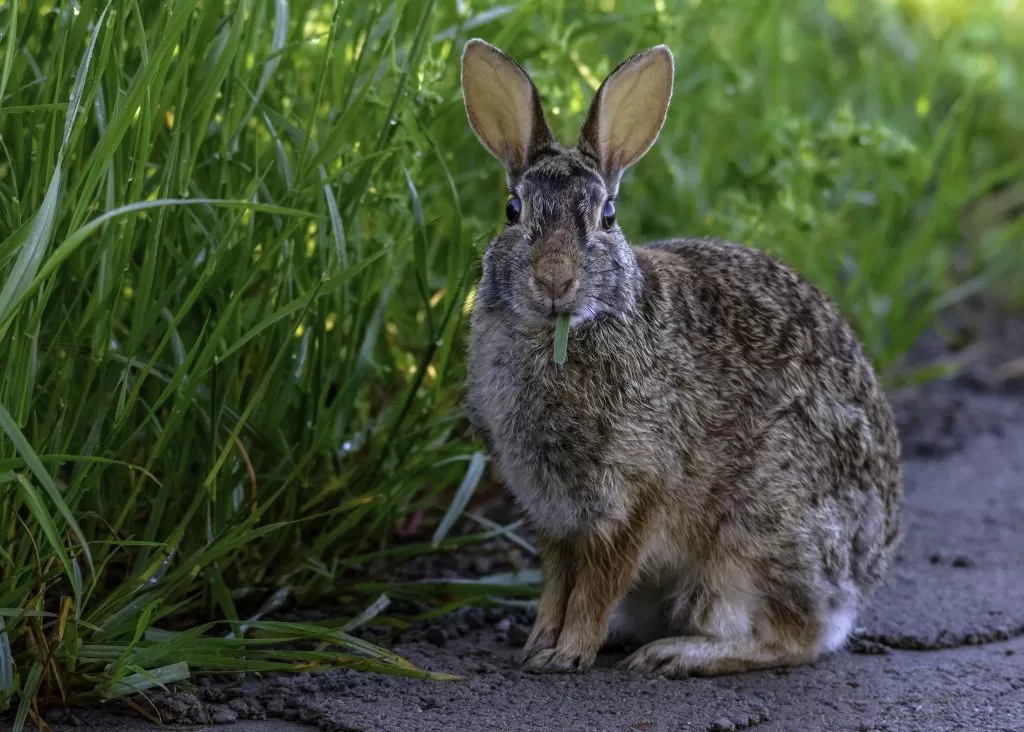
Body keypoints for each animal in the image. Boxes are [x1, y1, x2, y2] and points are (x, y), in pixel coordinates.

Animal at [460, 40, 901, 679]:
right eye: (513, 210)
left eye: (608, 216)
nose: (554, 281)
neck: (565, 330)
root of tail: (861, 580)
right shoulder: (552, 512)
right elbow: (557, 583)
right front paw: (539, 645)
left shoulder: (638, 494)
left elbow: (597, 584)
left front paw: (568, 653)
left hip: (759, 534)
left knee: (795, 637)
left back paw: (677, 653)